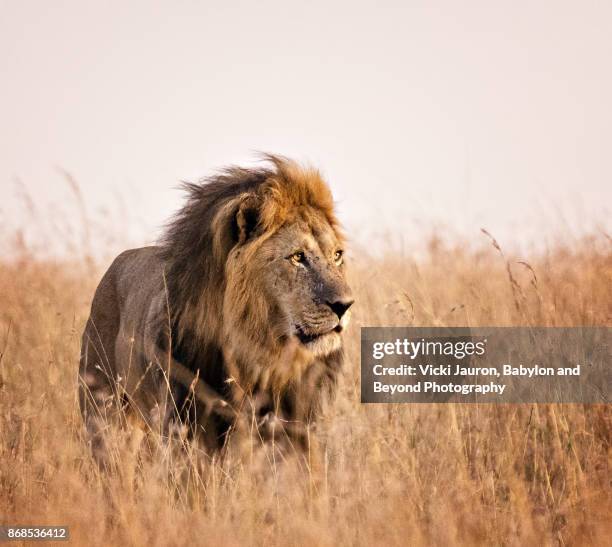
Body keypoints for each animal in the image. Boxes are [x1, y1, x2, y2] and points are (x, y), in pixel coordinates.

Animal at [77, 155, 354, 466]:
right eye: (297, 257)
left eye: (337, 255)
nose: (345, 305)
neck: (261, 352)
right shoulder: (186, 424)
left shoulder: (295, 426)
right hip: (103, 409)